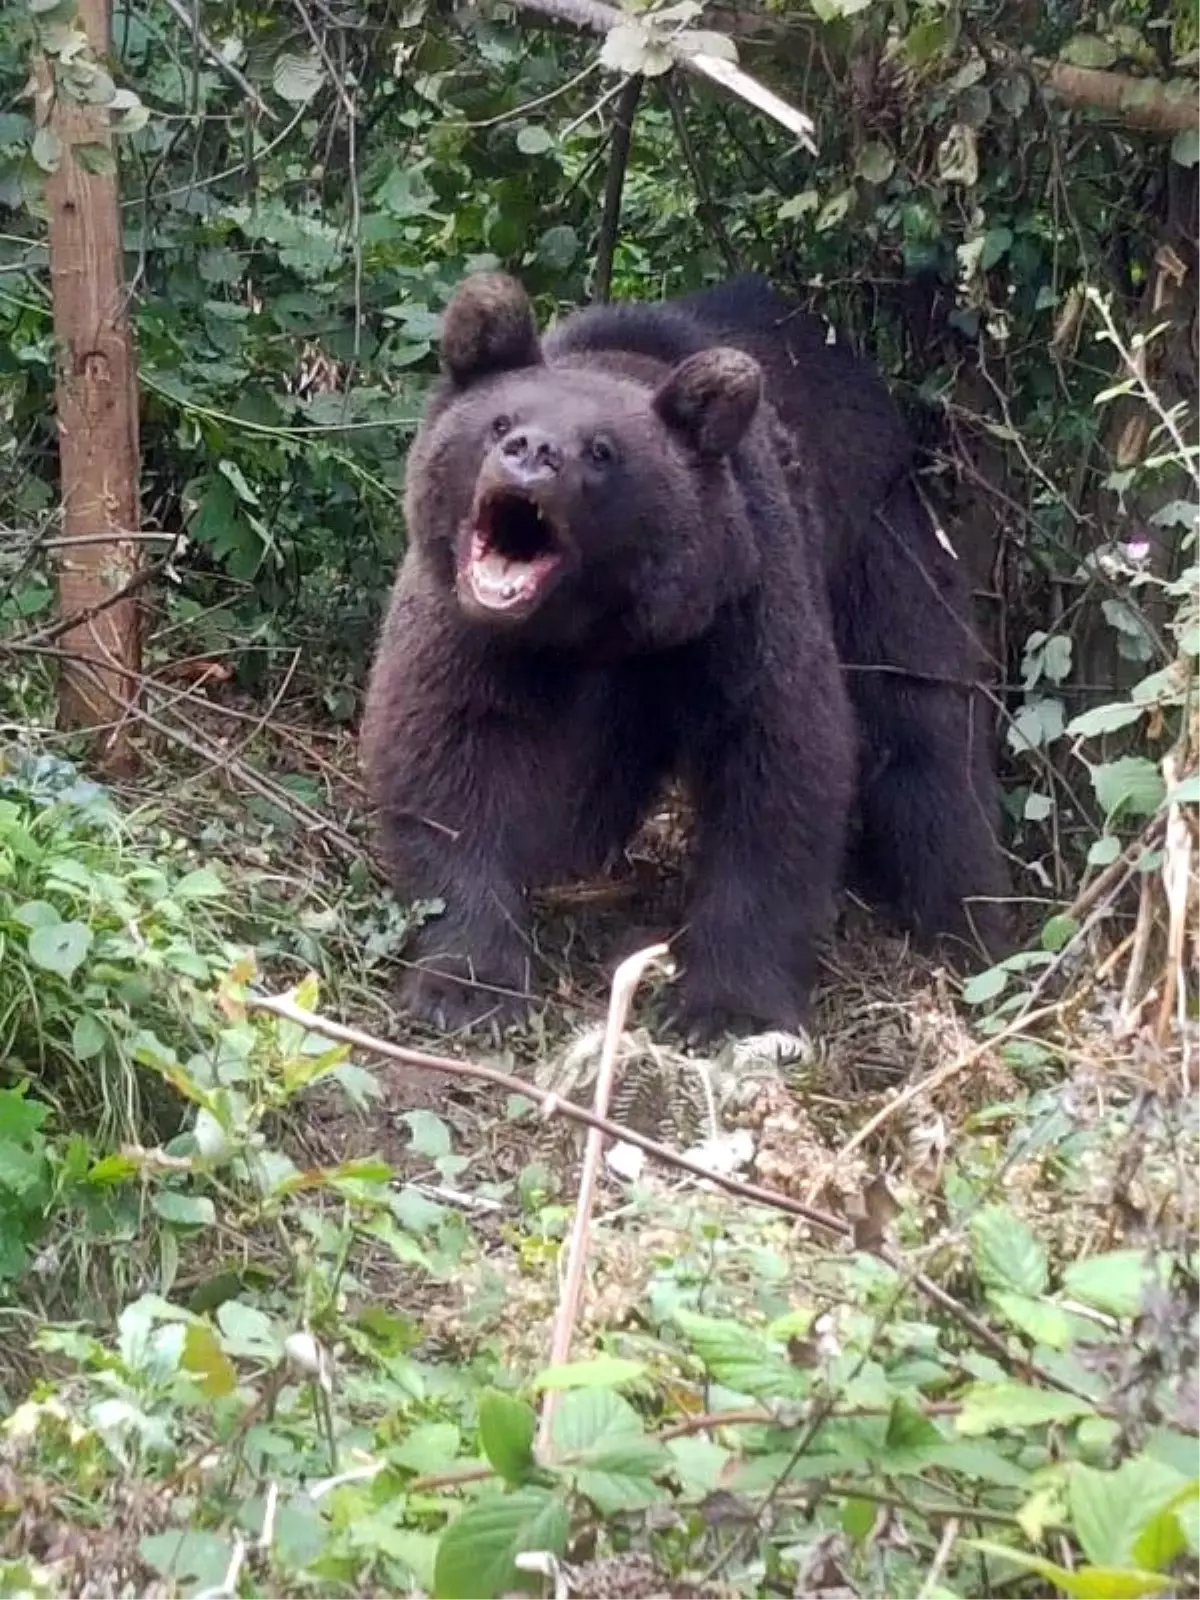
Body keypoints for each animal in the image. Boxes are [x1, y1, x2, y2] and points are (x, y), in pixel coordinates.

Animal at [361, 268, 1011, 1043]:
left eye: (601, 450)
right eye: (499, 421)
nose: (533, 452)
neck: (597, 623)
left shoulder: (743, 604)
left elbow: (774, 767)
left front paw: (730, 1006)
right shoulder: (469, 624)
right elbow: (448, 758)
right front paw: (465, 983)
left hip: (882, 554)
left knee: (928, 733)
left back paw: (973, 926)